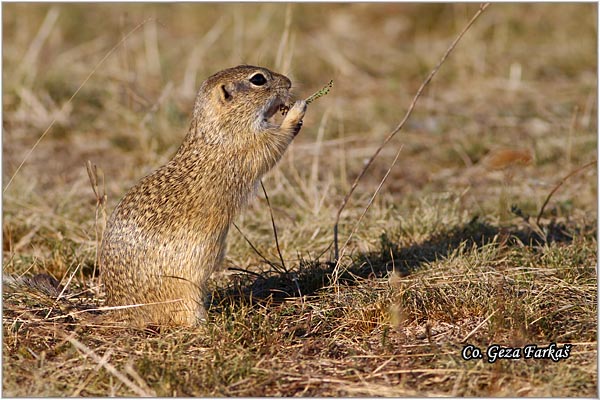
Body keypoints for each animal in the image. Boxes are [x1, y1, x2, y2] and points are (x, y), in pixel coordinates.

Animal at [99, 65, 308, 326]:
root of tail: (121, 311)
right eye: (258, 79)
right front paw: (298, 110)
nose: (289, 82)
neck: (220, 128)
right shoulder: (252, 144)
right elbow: (276, 141)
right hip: (183, 292)